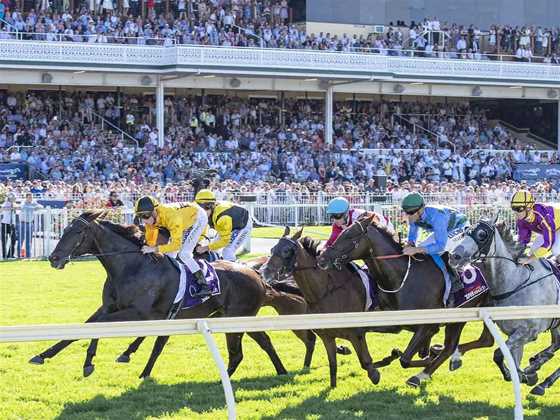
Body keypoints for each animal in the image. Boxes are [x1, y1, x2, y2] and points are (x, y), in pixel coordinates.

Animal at [262, 228, 382, 388]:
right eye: (272, 249)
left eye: (287, 250)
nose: (264, 272)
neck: (325, 292)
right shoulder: (327, 336)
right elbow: (333, 364)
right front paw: (333, 386)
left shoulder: (356, 333)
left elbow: (365, 361)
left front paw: (376, 373)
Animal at [318, 213, 492, 388]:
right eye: (340, 233)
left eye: (349, 236)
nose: (322, 259)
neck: (402, 278)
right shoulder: (393, 321)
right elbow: (362, 331)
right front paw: (377, 363)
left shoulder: (428, 326)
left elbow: (405, 359)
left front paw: (422, 356)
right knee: (483, 340)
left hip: (462, 317)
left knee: (450, 348)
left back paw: (422, 373)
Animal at [450, 218, 560, 396]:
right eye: (465, 231)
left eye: (482, 234)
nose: (454, 256)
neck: (515, 281)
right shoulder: (514, 333)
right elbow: (514, 361)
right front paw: (527, 374)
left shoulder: (527, 333)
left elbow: (498, 354)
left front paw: (520, 375)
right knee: (556, 343)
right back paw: (538, 367)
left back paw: (542, 379)